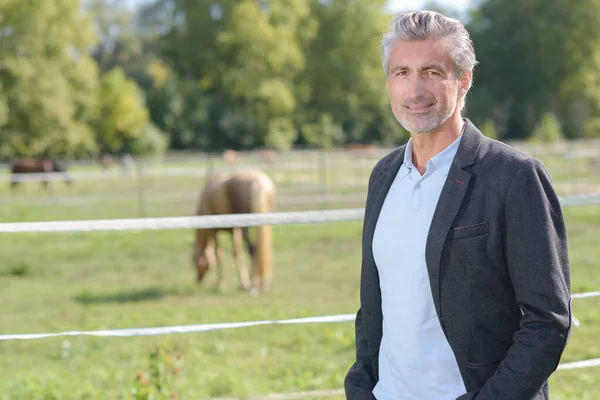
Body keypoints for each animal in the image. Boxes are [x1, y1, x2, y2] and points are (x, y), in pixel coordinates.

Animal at [190, 167, 276, 296]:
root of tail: (259, 182)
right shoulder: (234, 230)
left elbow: (218, 253)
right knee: (262, 248)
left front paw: (220, 284)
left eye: (193, 260)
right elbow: (236, 252)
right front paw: (243, 283)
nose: (197, 280)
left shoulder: (213, 231)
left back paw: (254, 283)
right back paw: (262, 284)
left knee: (253, 249)